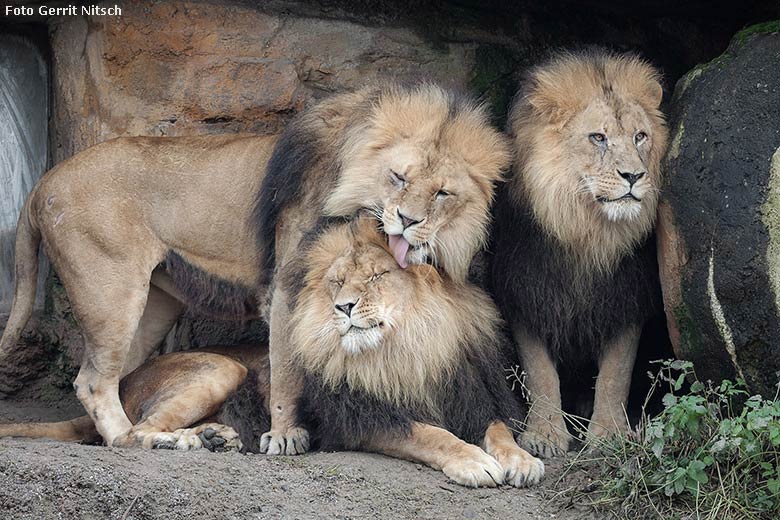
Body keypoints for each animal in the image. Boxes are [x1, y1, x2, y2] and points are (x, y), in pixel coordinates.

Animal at [0, 83, 508, 452]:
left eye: (442, 193)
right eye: (398, 177)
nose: (408, 220)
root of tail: (44, 179)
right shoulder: (287, 285)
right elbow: (287, 365)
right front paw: (285, 436)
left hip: (154, 304)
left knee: (121, 380)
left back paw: (199, 435)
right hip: (111, 291)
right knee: (93, 383)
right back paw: (139, 438)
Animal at [0, 217, 544, 490]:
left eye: (376, 276)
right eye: (336, 284)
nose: (344, 307)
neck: (408, 349)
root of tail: (127, 377)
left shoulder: (474, 398)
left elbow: (498, 429)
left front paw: (521, 460)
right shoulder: (361, 420)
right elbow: (431, 435)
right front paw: (473, 463)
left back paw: (214, 437)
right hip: (220, 366)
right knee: (134, 434)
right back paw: (187, 442)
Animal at [490, 47, 668, 456]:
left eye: (640, 136)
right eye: (598, 137)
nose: (633, 176)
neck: (586, 233)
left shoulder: (626, 297)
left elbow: (616, 373)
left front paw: (608, 435)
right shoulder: (527, 292)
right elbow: (539, 372)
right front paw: (545, 435)